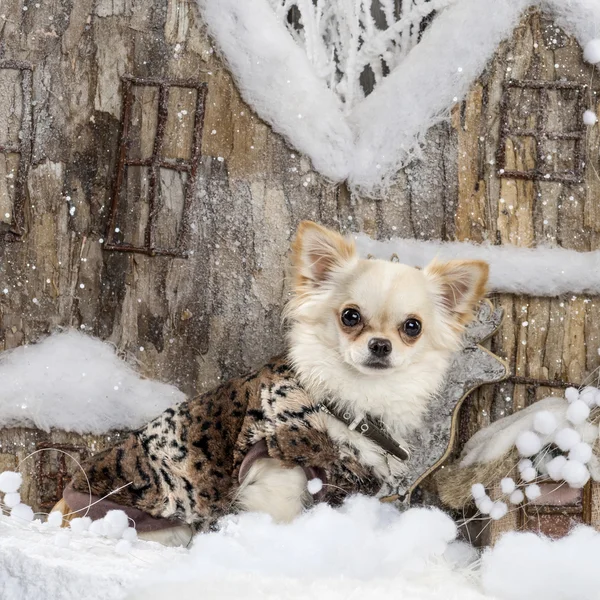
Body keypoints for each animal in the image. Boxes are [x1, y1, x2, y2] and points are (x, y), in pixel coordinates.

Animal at [55, 223, 488, 548]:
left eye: (412, 327)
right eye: (350, 316)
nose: (380, 345)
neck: (349, 404)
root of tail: (61, 505)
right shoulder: (275, 478)